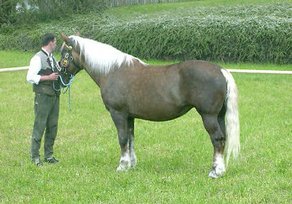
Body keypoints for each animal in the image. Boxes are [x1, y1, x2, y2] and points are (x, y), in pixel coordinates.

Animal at [59, 32, 240, 178]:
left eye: (64, 55)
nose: (60, 74)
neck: (112, 71)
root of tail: (221, 71)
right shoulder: (129, 116)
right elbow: (130, 139)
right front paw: (131, 165)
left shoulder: (118, 114)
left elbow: (122, 138)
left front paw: (122, 166)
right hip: (219, 116)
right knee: (223, 138)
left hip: (208, 116)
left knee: (217, 139)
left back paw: (216, 172)